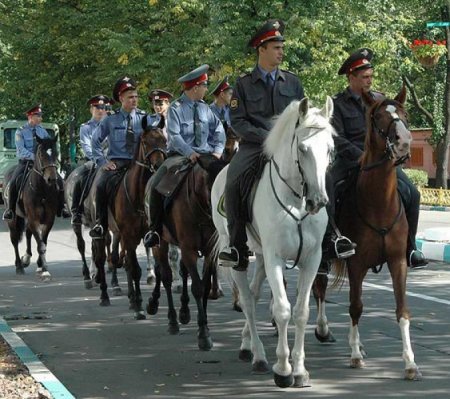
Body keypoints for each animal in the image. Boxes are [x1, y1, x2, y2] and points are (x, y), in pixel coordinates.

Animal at [3, 136, 59, 280]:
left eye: (55, 153)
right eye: (41, 155)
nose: (52, 179)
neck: (42, 191)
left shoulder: (49, 220)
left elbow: (43, 242)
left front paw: (41, 265)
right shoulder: (34, 219)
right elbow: (41, 245)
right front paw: (44, 269)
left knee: (28, 233)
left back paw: (27, 259)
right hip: (12, 220)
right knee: (14, 240)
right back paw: (19, 265)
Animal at [90, 128, 167, 312]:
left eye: (164, 140)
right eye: (145, 142)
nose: (159, 165)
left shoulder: (150, 236)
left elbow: (155, 268)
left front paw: (149, 301)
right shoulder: (129, 235)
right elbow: (134, 268)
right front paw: (138, 303)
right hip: (102, 231)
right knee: (101, 258)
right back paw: (105, 295)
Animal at [146, 158, 220, 352]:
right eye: (211, 186)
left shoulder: (209, 251)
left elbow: (205, 285)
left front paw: (204, 323)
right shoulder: (188, 250)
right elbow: (198, 287)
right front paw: (203, 334)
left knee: (180, 272)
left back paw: (183, 312)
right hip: (160, 242)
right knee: (165, 276)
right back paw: (172, 320)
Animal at [211, 98, 334, 390]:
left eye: (330, 149)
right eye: (302, 148)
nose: (318, 201)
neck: (297, 201)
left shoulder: (311, 260)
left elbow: (301, 312)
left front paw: (300, 370)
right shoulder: (275, 258)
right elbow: (282, 310)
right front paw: (283, 369)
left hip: (260, 257)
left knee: (254, 295)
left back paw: (247, 344)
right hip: (239, 256)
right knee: (246, 300)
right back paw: (258, 356)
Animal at [312, 85, 422, 382]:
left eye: (405, 115)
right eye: (379, 117)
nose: (404, 143)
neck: (379, 202)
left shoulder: (397, 261)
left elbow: (402, 309)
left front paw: (410, 363)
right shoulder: (356, 263)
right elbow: (356, 306)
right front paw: (354, 355)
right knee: (319, 288)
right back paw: (324, 330)